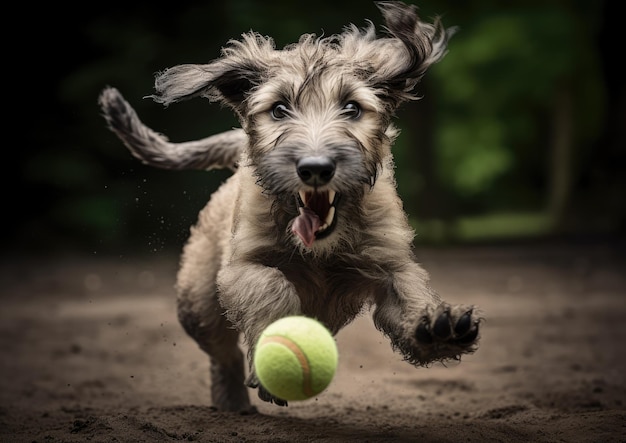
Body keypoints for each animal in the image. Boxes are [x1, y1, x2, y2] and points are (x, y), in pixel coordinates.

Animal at [97, 0, 480, 412]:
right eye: (279, 109)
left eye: (352, 108)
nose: (315, 169)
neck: (322, 246)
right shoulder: (242, 266)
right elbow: (271, 286)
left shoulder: (390, 262)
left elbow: (409, 293)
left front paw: (437, 329)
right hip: (197, 303)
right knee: (222, 352)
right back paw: (232, 401)